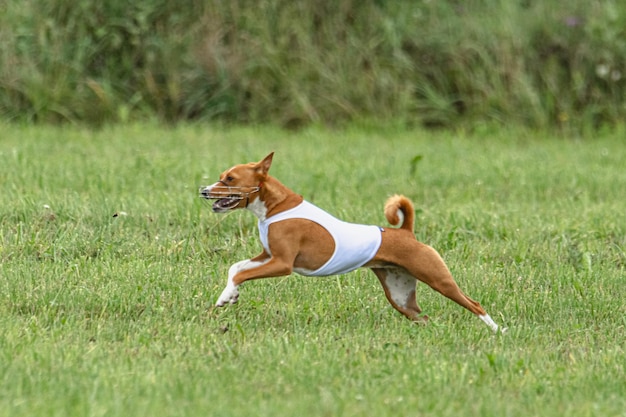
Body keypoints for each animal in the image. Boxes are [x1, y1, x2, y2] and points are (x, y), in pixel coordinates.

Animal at [197, 151, 500, 330]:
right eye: (221, 177)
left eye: (229, 178)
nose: (204, 190)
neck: (275, 207)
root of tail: (406, 232)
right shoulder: (267, 256)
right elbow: (235, 268)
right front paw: (230, 295)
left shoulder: (282, 264)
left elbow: (240, 274)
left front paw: (226, 296)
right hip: (399, 295)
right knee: (422, 316)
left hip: (437, 278)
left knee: (474, 303)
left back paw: (497, 331)